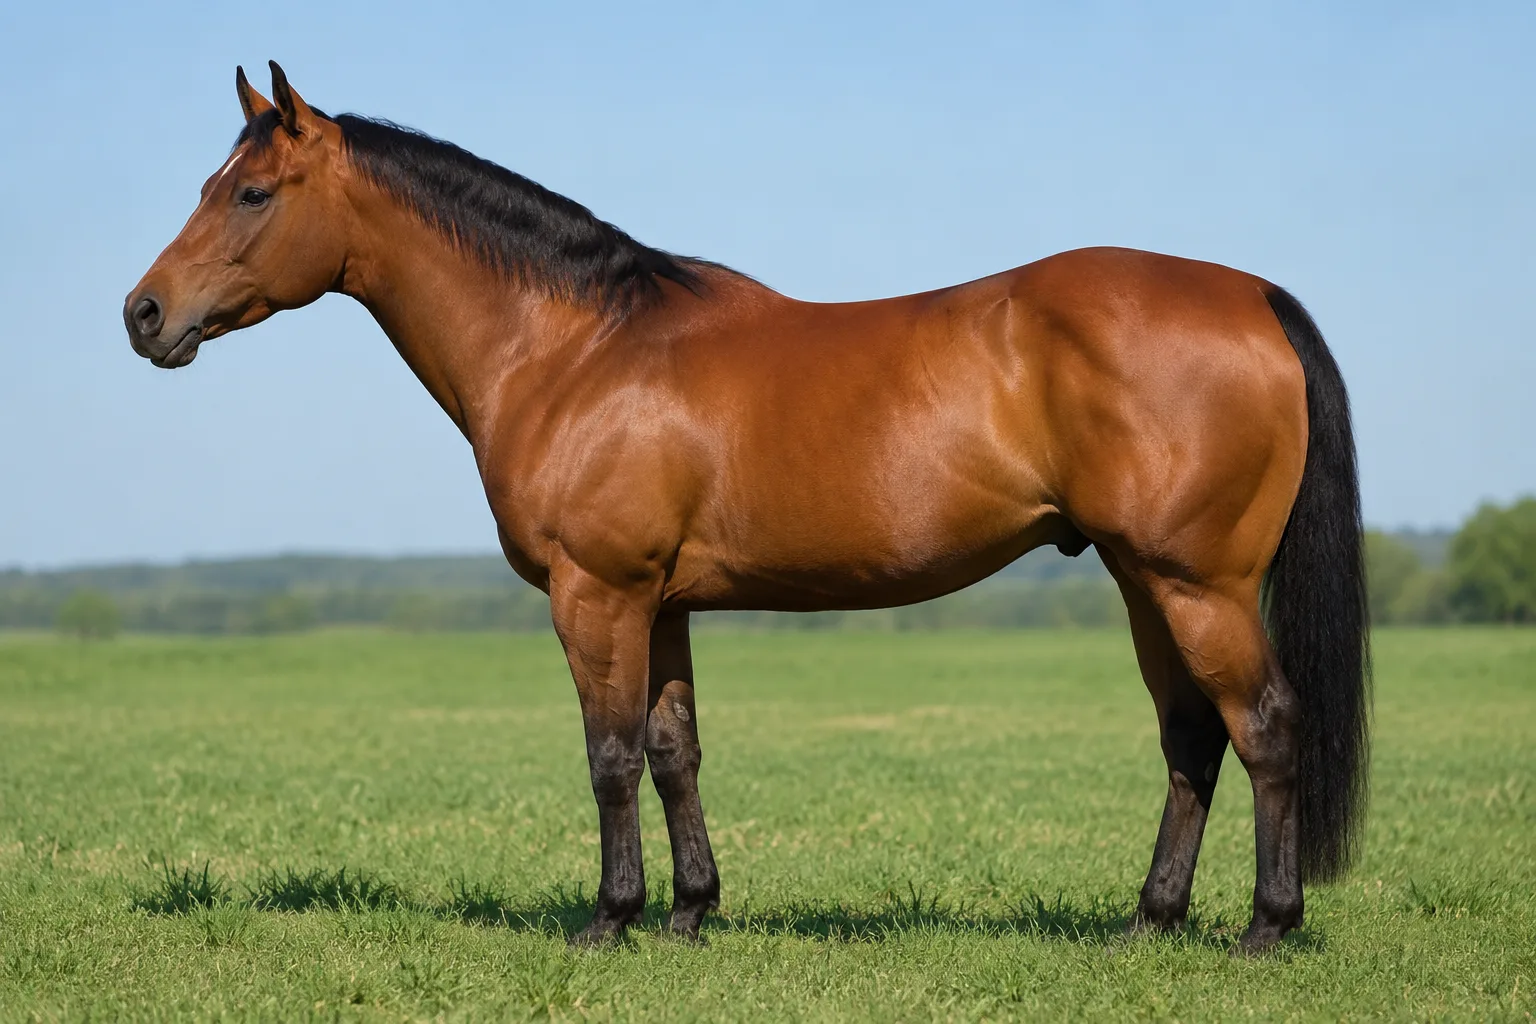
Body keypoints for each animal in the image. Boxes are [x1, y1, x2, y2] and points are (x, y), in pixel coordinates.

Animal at [124, 63, 1369, 953]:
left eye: (251, 192)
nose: (143, 314)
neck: (577, 348)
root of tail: (1250, 294)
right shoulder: (662, 601)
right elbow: (675, 749)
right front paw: (688, 912)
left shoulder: (595, 592)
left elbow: (609, 754)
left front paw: (609, 919)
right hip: (1142, 579)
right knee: (1191, 738)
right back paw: (1146, 924)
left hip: (1194, 583)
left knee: (1264, 726)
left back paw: (1266, 928)